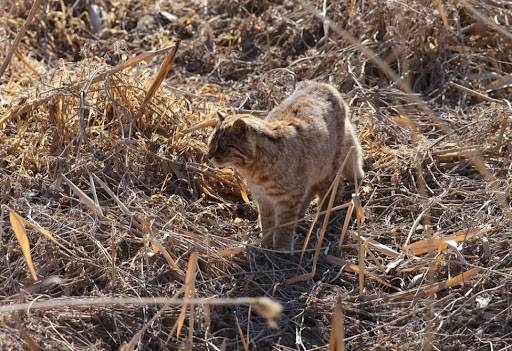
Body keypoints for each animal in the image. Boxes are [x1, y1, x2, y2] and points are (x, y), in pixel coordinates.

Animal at [205, 81, 364, 250]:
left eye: (222, 147)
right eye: (211, 143)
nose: (209, 156)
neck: (254, 169)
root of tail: (322, 84)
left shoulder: (288, 198)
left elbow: (284, 226)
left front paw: (282, 248)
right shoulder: (263, 198)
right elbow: (267, 222)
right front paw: (266, 243)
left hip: (328, 167)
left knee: (334, 187)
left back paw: (322, 217)